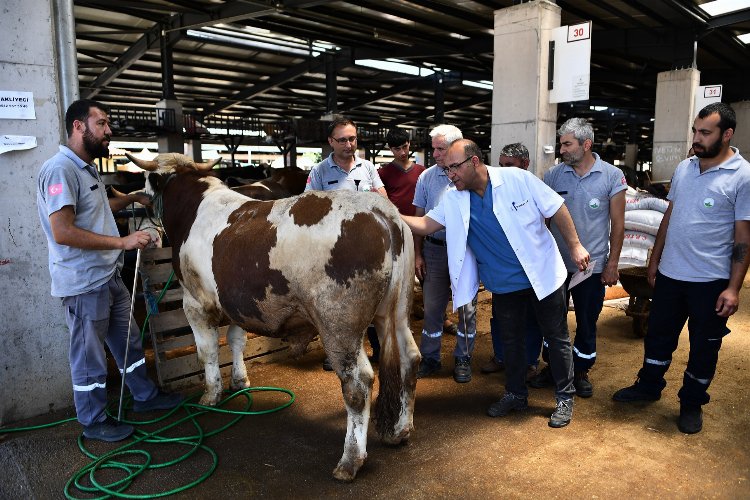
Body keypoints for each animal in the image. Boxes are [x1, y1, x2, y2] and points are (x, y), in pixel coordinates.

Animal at [129, 152, 424, 480]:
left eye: (146, 180)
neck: (193, 208)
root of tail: (381, 210)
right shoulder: (238, 303)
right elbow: (236, 340)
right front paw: (239, 381)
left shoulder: (195, 303)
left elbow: (207, 352)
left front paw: (210, 394)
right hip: (395, 312)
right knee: (410, 359)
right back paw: (401, 430)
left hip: (339, 324)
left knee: (357, 383)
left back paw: (350, 460)